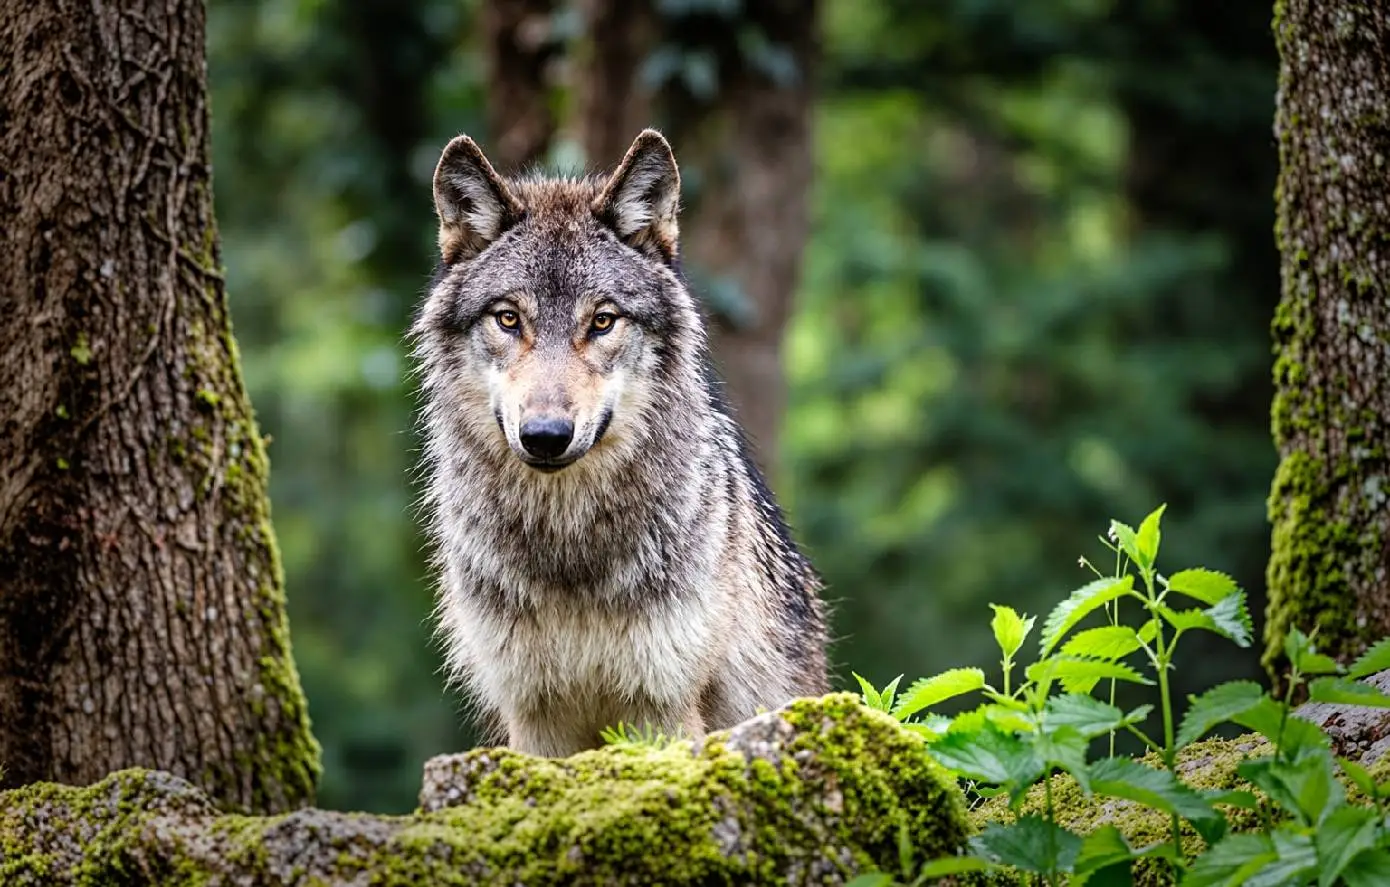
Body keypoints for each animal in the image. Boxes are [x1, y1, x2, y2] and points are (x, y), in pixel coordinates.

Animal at [411, 129, 829, 757]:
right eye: (508, 319)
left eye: (602, 321)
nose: (545, 436)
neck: (568, 549)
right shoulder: (533, 714)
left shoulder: (661, 706)